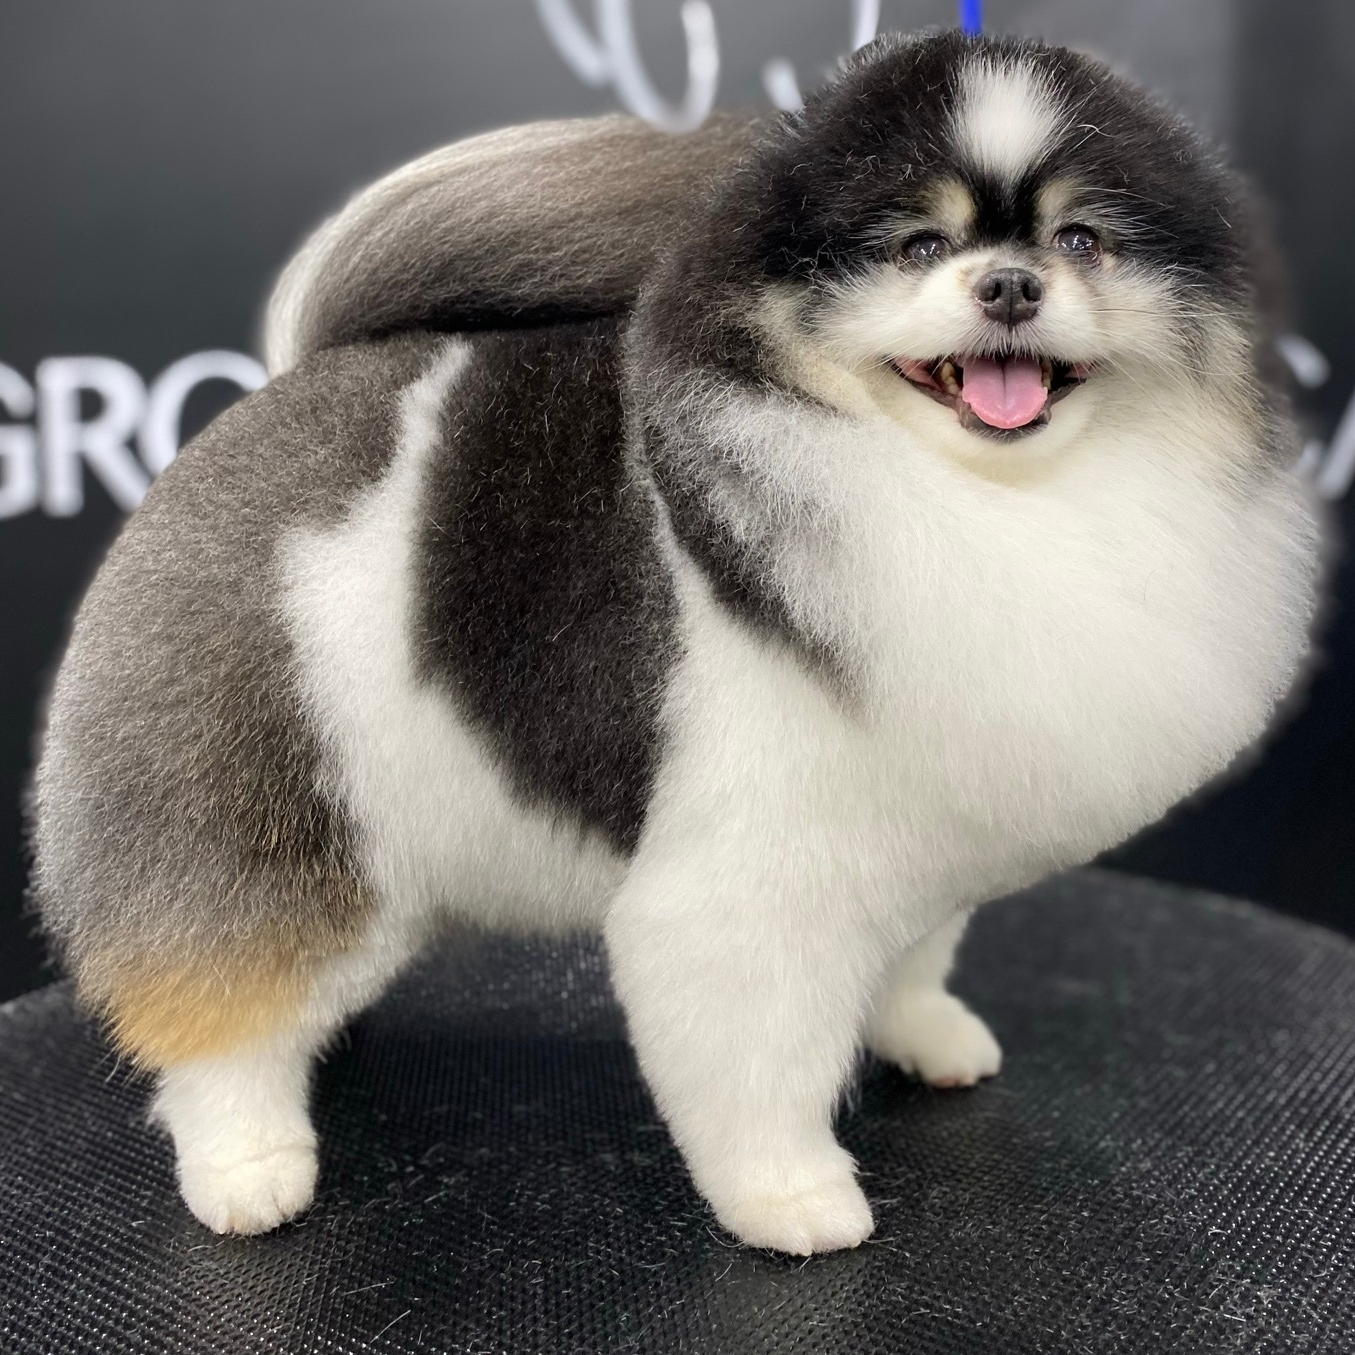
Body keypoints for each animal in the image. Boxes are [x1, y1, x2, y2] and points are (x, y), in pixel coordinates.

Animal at [34, 31, 1322, 1252]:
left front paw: (924, 1034)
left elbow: (913, 953)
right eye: (913, 246)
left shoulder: (919, 815)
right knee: (223, 1010)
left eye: (1083, 239)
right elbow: (762, 1067)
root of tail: (272, 401)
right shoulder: (747, 879)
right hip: (268, 801)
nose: (1008, 282)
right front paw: (792, 1198)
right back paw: (248, 1167)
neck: (977, 494)